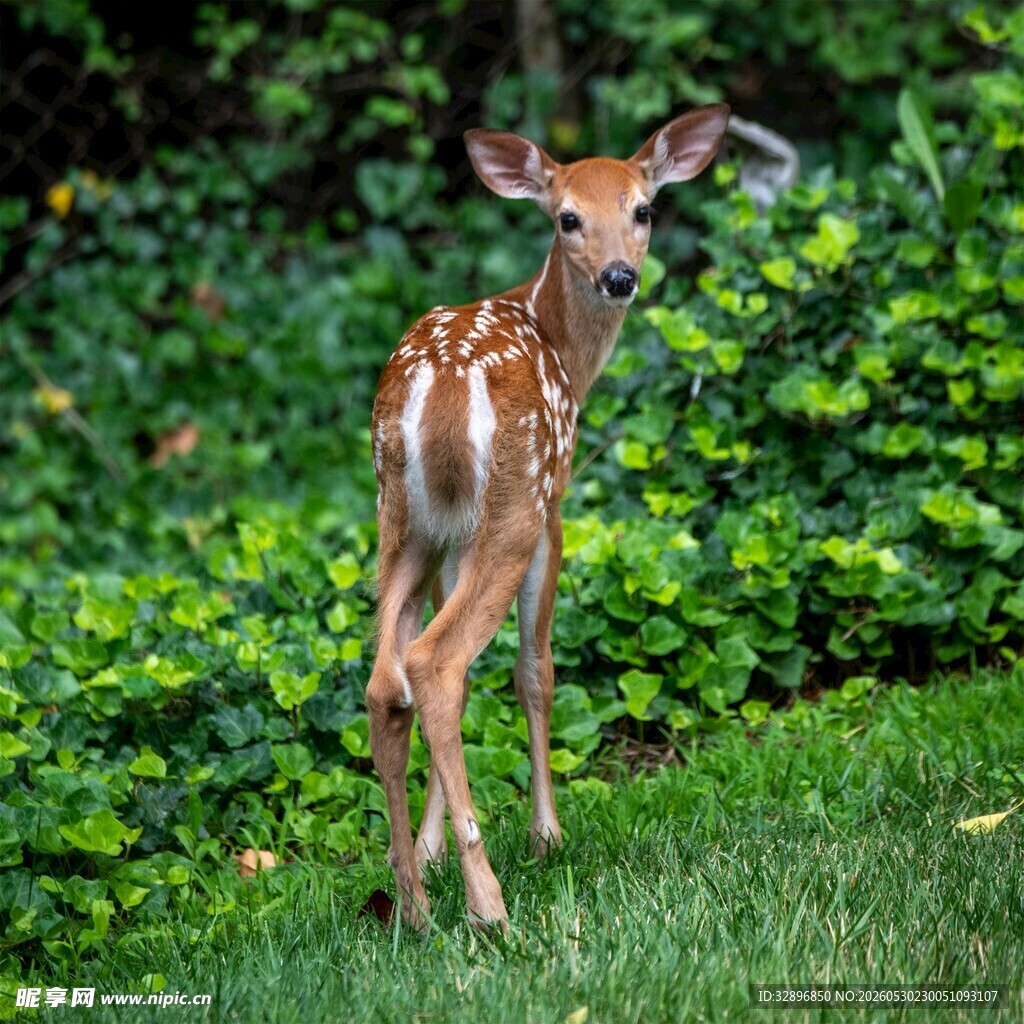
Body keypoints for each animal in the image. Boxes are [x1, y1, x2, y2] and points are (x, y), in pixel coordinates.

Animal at [367, 104, 730, 930]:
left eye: (643, 209)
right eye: (568, 217)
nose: (620, 276)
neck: (560, 344)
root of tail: (440, 387)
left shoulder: (449, 537)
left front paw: (431, 850)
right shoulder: (555, 501)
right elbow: (536, 669)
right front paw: (546, 835)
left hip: (401, 520)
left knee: (388, 677)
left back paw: (412, 902)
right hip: (515, 505)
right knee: (436, 664)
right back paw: (488, 903)